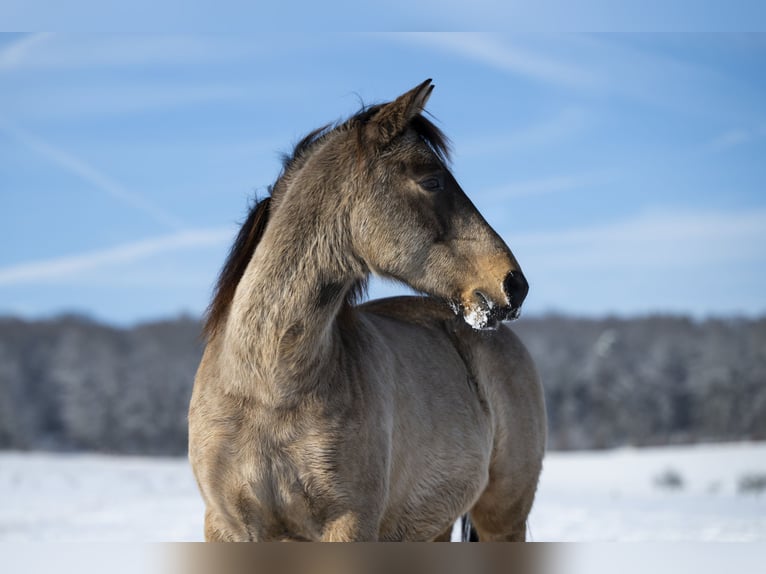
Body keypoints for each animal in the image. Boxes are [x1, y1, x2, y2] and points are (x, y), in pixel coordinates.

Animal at [189, 81, 548, 544]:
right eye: (432, 180)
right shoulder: (228, 527)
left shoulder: (349, 524)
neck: (265, 389)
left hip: (503, 518)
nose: (514, 285)